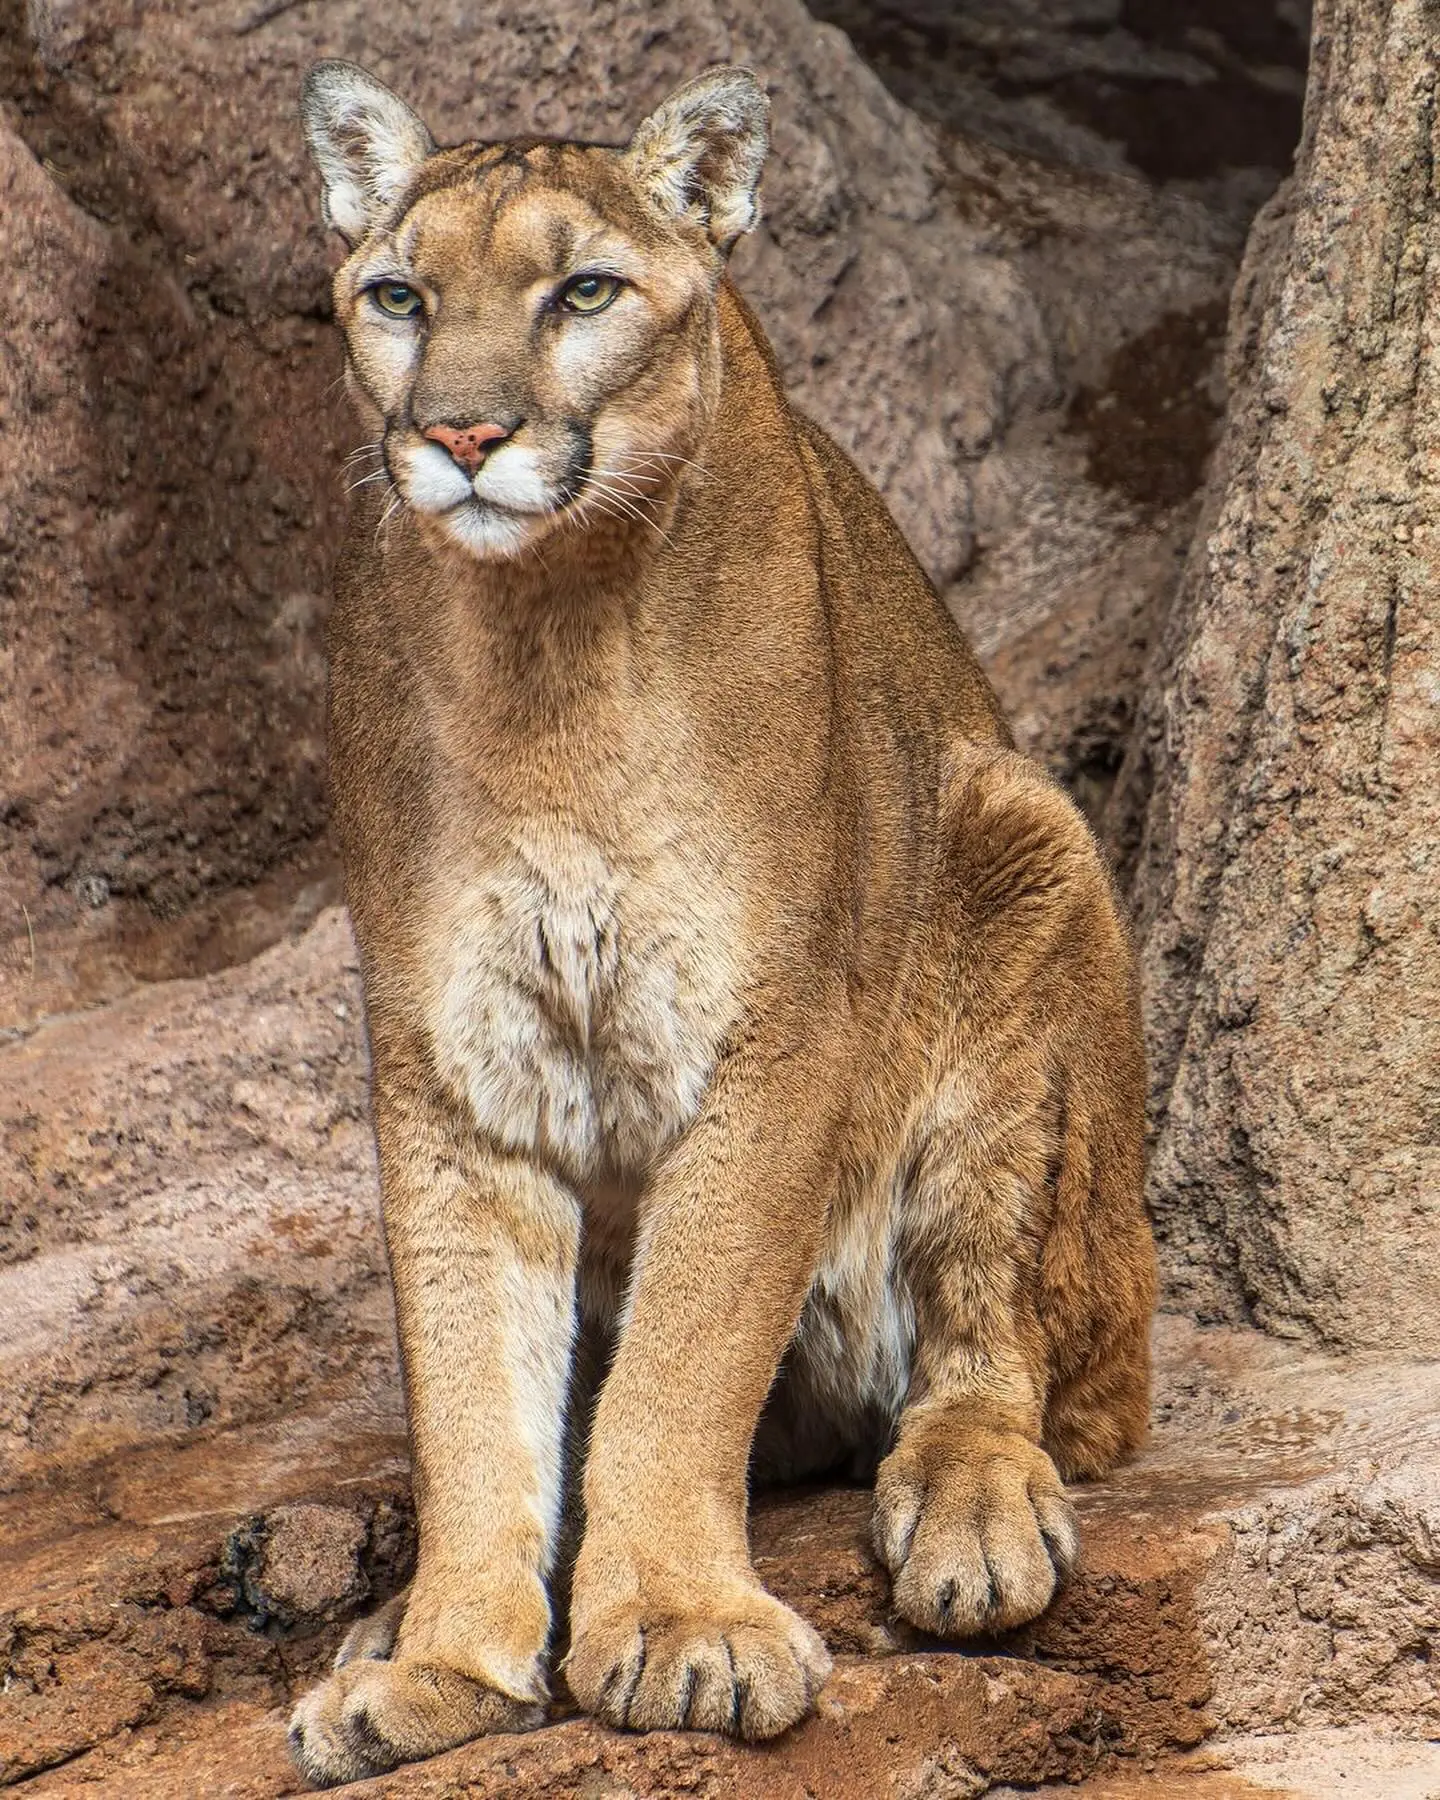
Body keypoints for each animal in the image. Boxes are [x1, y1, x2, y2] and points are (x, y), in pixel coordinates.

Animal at [286, 56, 1152, 1785]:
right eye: (400, 297)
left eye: (585, 293)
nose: (463, 432)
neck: (548, 640)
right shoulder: (449, 1057)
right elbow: (471, 1386)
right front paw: (448, 1660)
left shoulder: (771, 1032)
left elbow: (683, 1361)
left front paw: (680, 1626)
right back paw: (391, 1616)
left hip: (1025, 846)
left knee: (1012, 1351)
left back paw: (974, 1517)